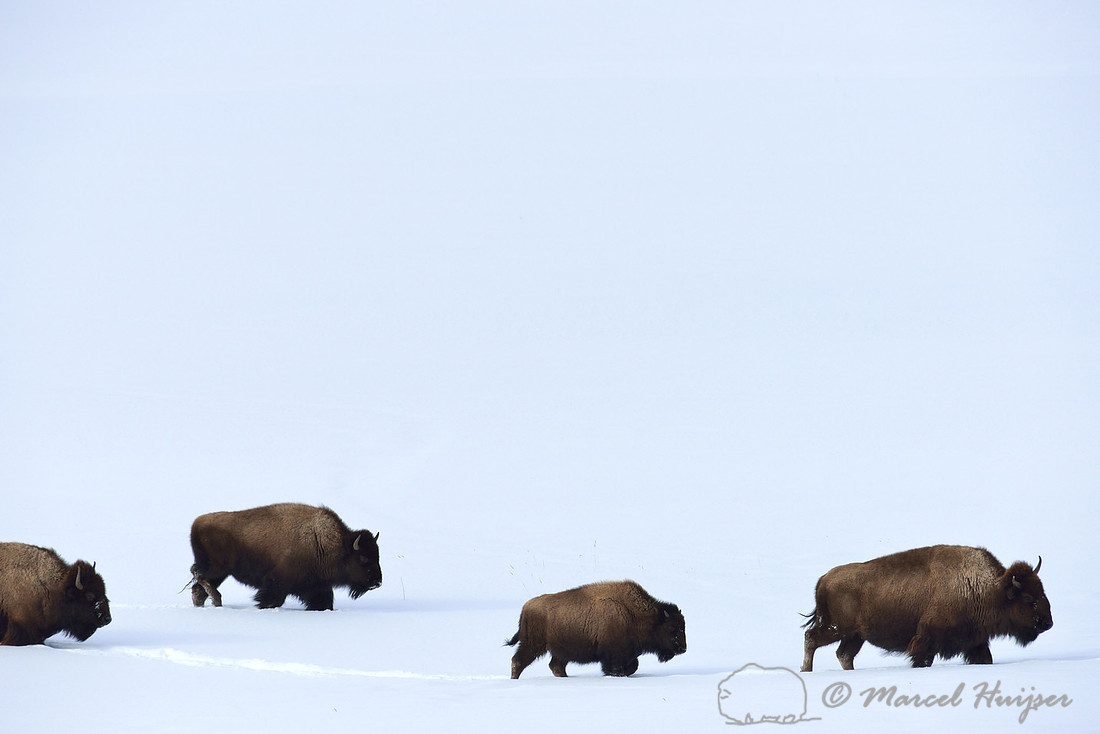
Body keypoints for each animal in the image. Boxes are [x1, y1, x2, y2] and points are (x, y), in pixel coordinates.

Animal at [189, 503, 382, 610]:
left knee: (198, 588)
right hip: (218, 568)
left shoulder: (318, 586)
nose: (377, 582)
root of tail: (197, 522)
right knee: (199, 578)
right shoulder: (277, 583)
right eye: (363, 558)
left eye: (377, 556)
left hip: (220, 572)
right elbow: (272, 600)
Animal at [506, 580, 687, 678]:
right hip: (533, 645)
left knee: (556, 666)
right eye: (671, 628)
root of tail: (526, 607)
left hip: (560, 651)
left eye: (683, 627)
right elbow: (619, 668)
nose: (683, 648)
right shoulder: (614, 655)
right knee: (518, 661)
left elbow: (634, 665)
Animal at [801, 544, 1052, 671]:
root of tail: (823, 579)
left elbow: (985, 658)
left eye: (1042, 590)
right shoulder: (927, 641)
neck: (991, 588)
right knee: (811, 638)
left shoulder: (975, 641)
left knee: (844, 654)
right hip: (837, 628)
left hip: (855, 635)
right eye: (1027, 597)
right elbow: (922, 660)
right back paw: (806, 670)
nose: (1048, 623)